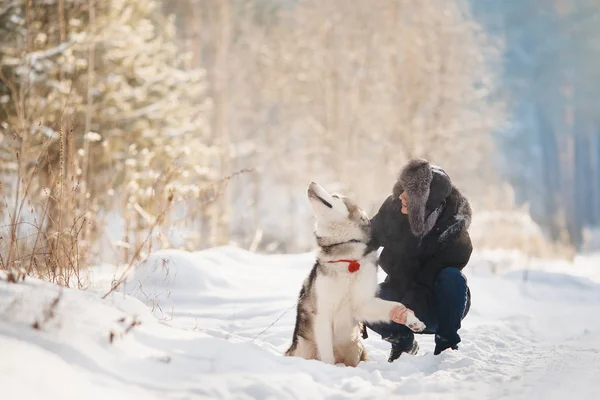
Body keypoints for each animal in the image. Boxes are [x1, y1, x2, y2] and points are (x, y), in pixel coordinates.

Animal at [284, 181, 422, 366]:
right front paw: (329, 369)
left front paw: (412, 320)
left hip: (355, 347)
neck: (348, 259)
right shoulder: (323, 312)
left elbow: (397, 305)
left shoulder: (363, 304)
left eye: (335, 196)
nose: (312, 183)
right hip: (305, 347)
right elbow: (326, 354)